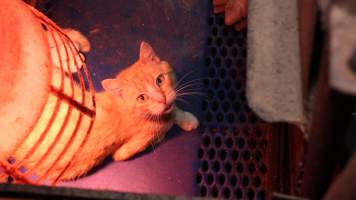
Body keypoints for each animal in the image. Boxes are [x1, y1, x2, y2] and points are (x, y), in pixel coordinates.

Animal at [11, 34, 199, 181]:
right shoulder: (127, 149)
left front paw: (184, 117)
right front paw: (181, 119)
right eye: (142, 98)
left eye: (159, 80)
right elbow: (165, 124)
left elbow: (172, 108)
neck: (124, 109)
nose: (162, 98)